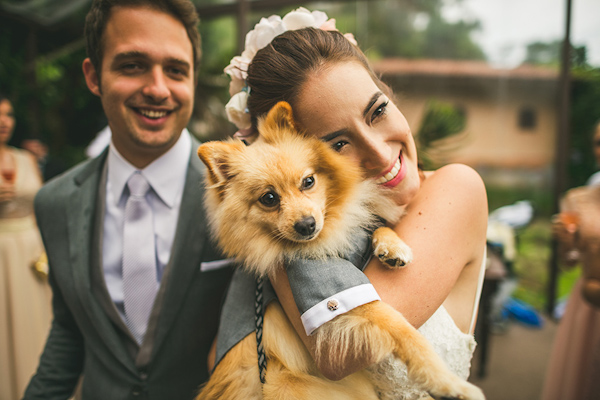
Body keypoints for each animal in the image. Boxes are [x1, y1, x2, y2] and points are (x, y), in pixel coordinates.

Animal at [195, 101, 486, 400]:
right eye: (269, 198)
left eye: (308, 181)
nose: (307, 224)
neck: (332, 231)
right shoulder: (340, 301)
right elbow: (405, 331)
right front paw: (449, 383)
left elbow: (374, 225)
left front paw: (392, 246)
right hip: (286, 384)